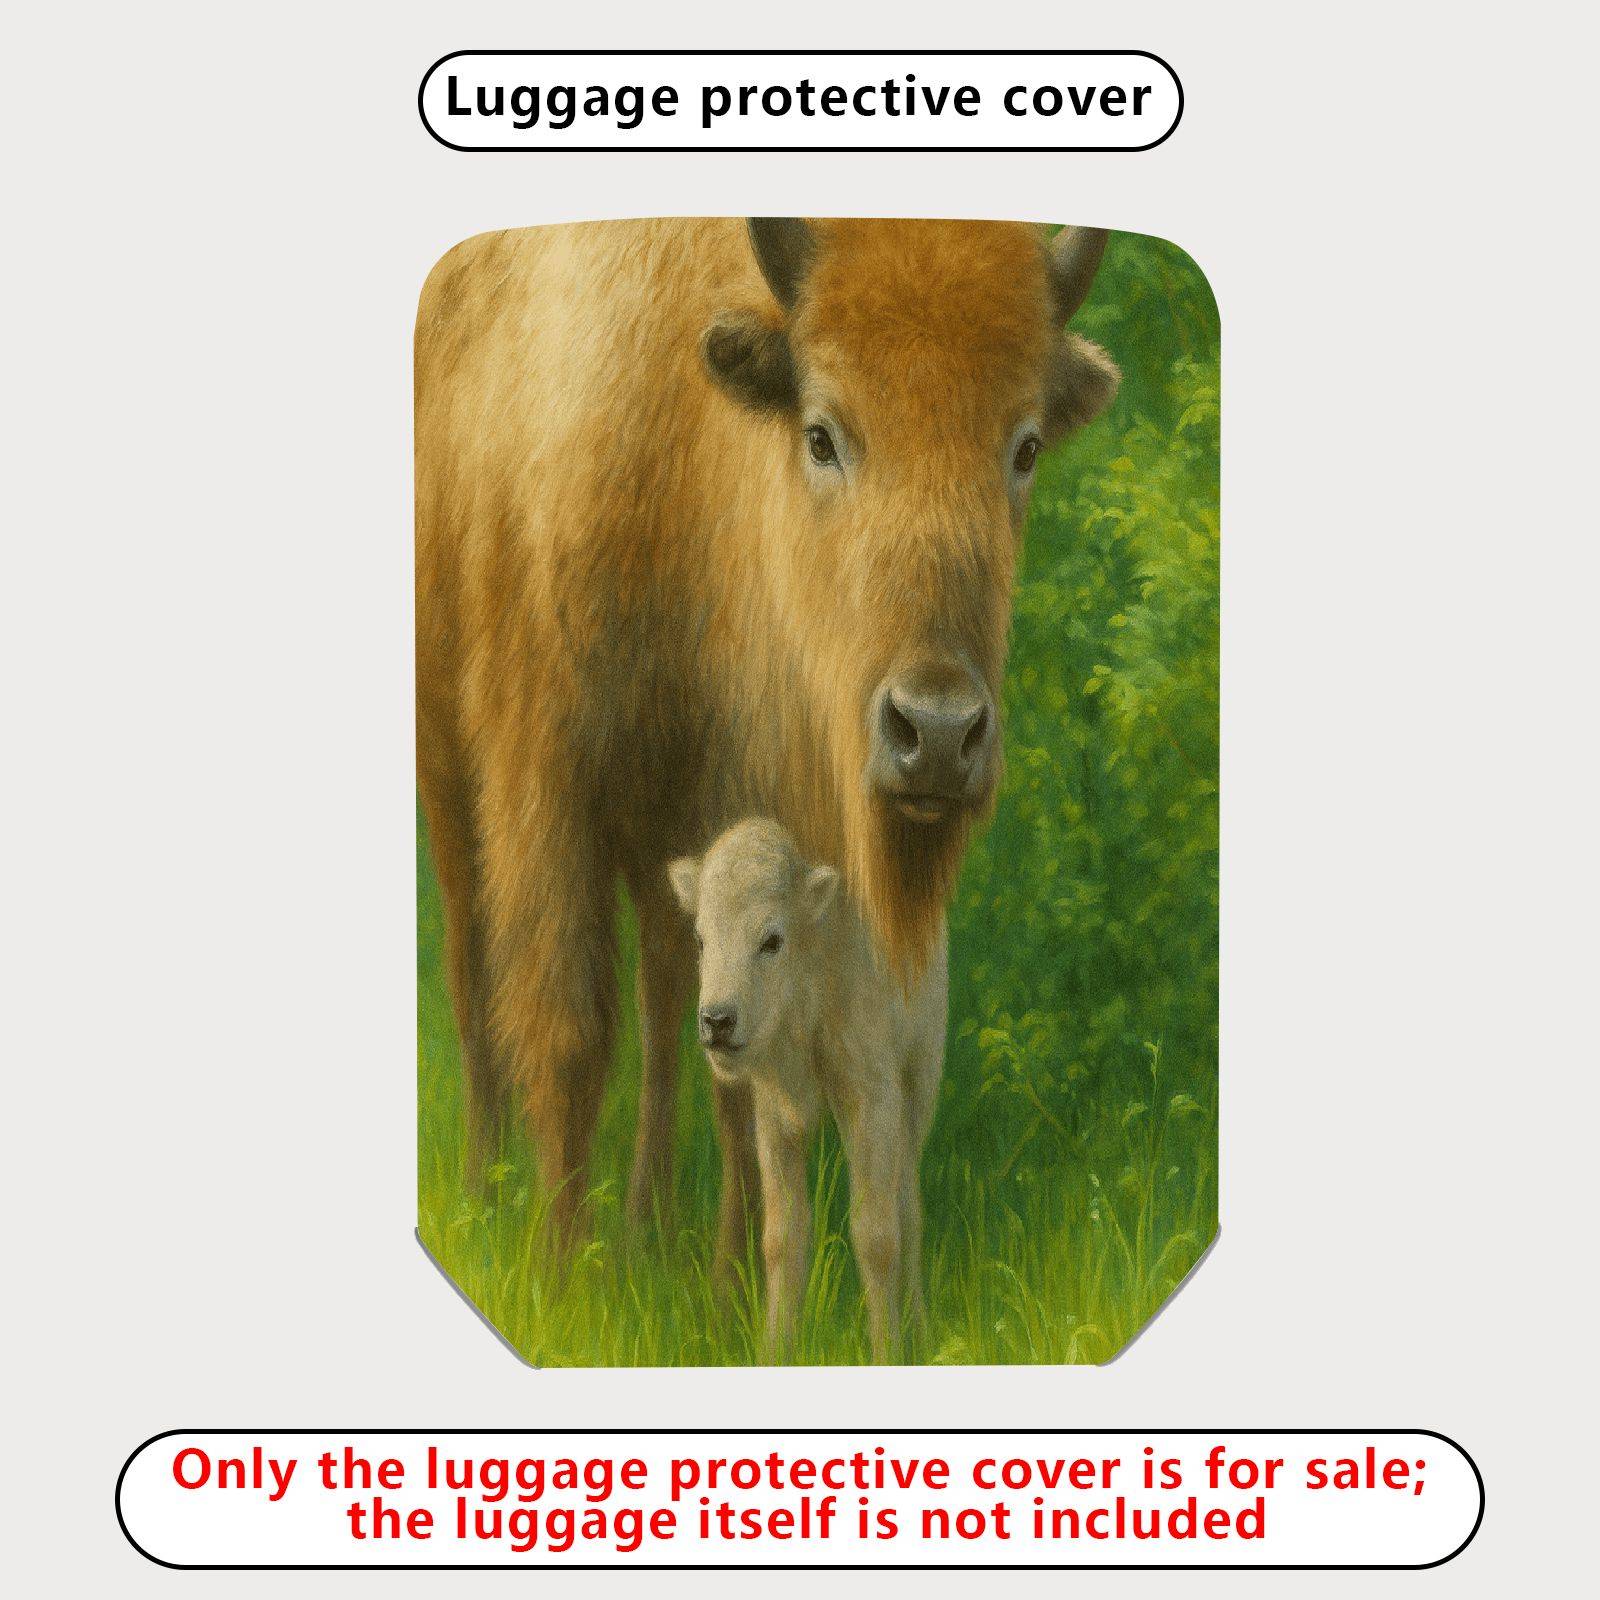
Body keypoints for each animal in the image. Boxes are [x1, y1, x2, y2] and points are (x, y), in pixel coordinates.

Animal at [414, 217, 1118, 1261]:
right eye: (821, 435)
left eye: (1025, 446)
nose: (937, 734)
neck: (692, 460)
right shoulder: (545, 781)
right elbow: (567, 1028)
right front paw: (559, 1270)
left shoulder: (754, 807)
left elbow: (741, 1065)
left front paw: (736, 1282)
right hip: (447, 763)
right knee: (473, 968)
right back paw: (484, 1193)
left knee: (668, 994)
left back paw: (650, 1223)